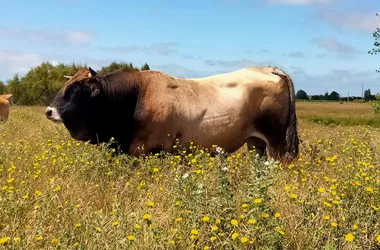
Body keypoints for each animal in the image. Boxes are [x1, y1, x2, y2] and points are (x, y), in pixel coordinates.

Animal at [45, 67, 300, 164]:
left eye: (77, 90)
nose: (49, 111)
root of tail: (267, 68)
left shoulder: (152, 150)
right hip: (257, 143)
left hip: (278, 143)